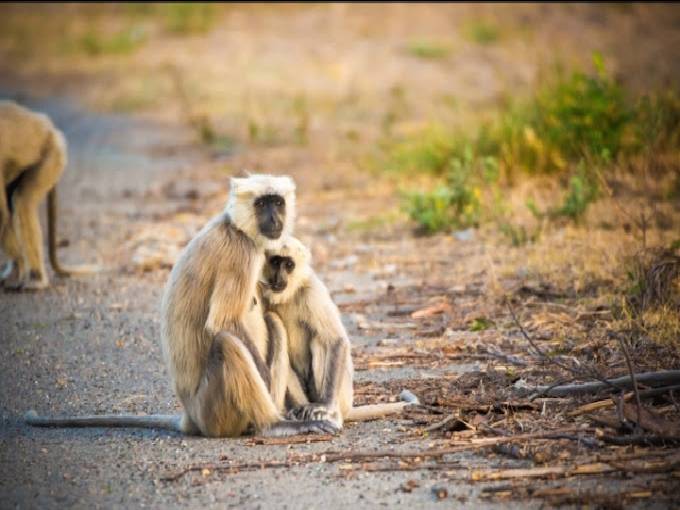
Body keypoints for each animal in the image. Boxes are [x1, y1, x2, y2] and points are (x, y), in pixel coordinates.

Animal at [26, 173, 340, 436]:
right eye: (262, 204)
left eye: (278, 202)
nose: (274, 219)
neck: (233, 225)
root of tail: (190, 417)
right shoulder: (241, 251)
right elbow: (223, 322)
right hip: (214, 411)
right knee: (226, 342)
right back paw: (273, 425)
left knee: (272, 322)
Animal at [260, 237, 420, 428]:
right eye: (276, 262)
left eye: (289, 265)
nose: (280, 278)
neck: (289, 294)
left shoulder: (312, 291)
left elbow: (335, 341)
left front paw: (325, 406)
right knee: (274, 321)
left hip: (343, 395)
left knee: (321, 341)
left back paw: (331, 414)